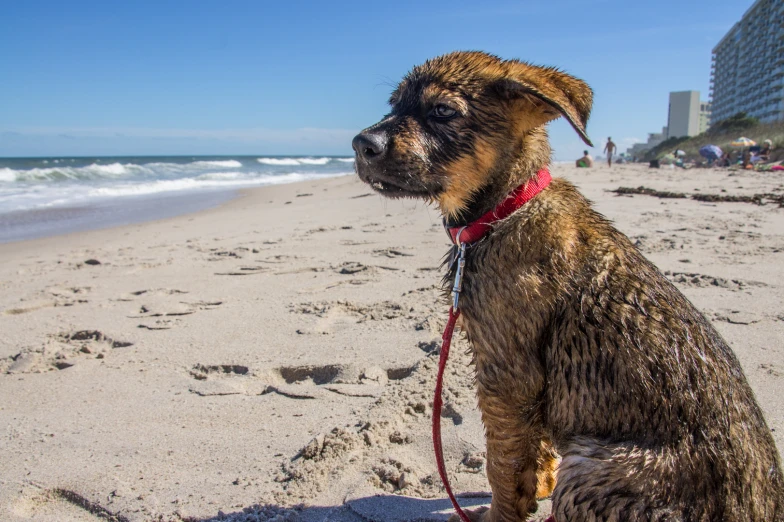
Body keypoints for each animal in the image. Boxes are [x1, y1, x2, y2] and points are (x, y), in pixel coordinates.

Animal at [352, 51, 780, 520]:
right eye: (394, 105)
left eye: (443, 111)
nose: (360, 145)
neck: (508, 207)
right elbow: (530, 450)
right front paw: (538, 486)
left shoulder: (507, 376)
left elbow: (501, 463)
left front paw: (500, 514)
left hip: (590, 467)